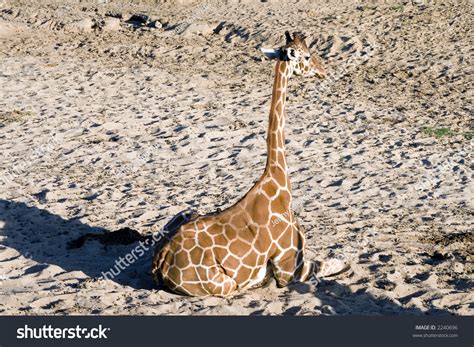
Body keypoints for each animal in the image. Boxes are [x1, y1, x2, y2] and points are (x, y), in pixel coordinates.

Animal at [153, 31, 348, 296]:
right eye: (307, 56)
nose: (323, 71)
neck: (279, 182)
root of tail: (161, 262)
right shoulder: (289, 268)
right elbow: (332, 263)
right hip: (224, 283)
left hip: (187, 213)